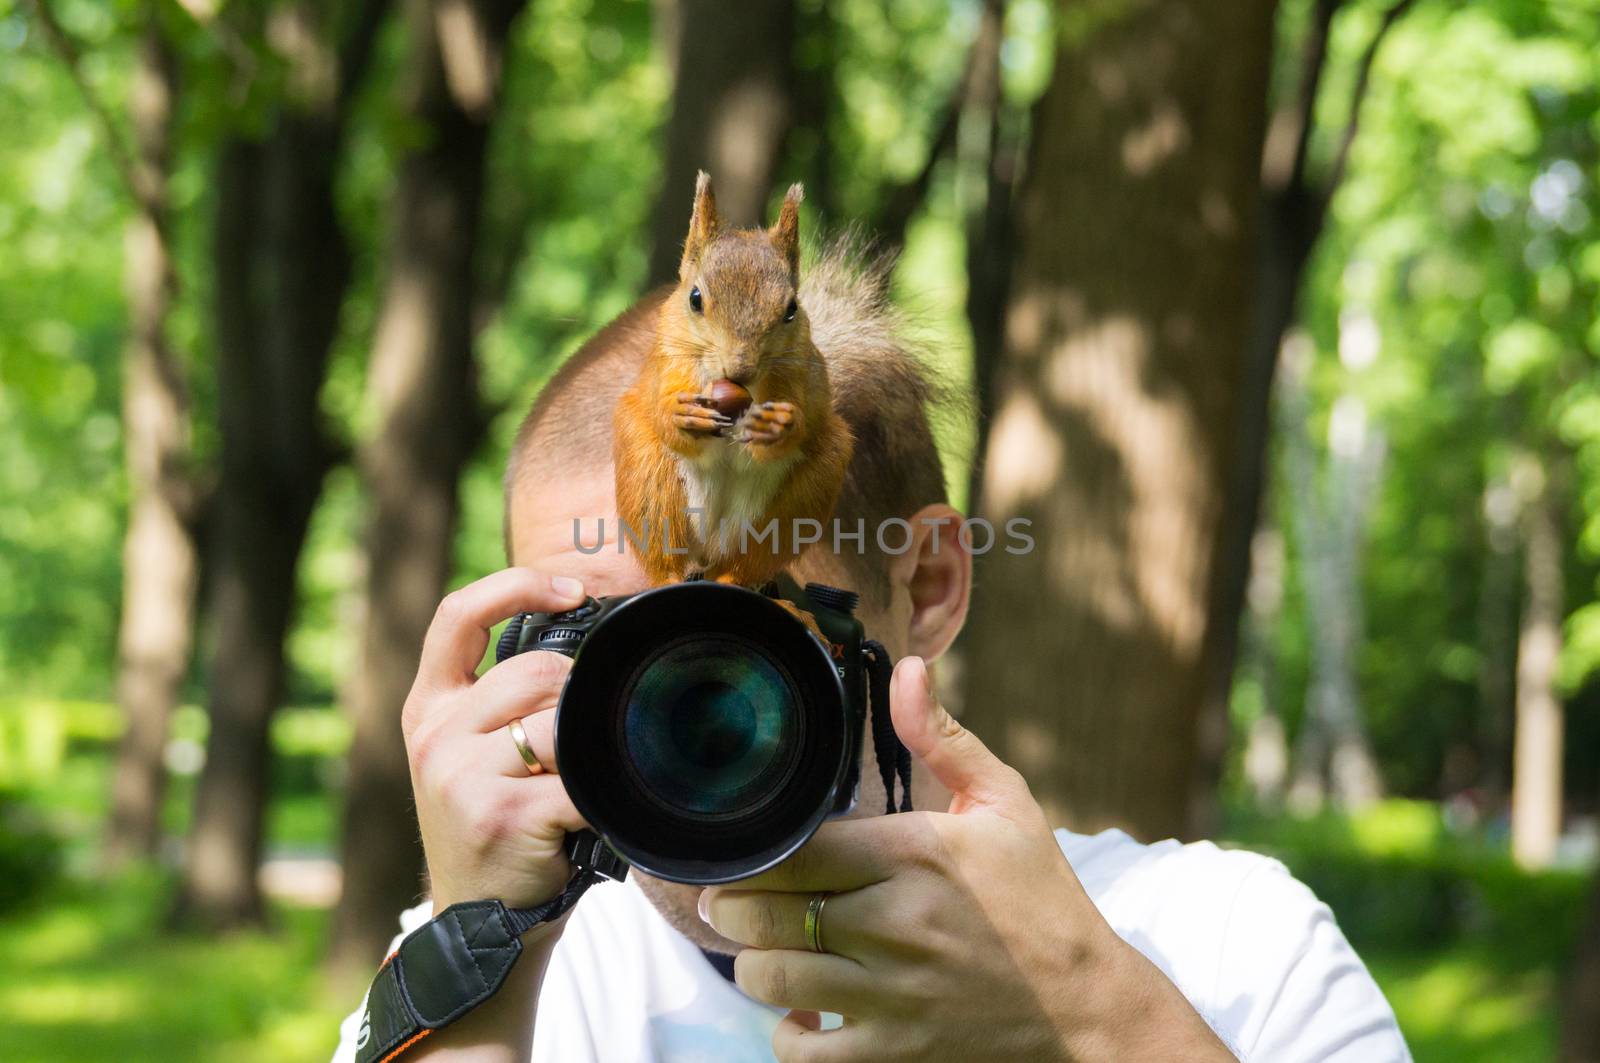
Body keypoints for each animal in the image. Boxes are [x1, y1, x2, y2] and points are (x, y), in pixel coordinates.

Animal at [611, 172, 857, 589]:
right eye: (694, 298)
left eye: (791, 309)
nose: (739, 371)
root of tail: (709, 552)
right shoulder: (667, 359)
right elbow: (665, 413)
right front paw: (682, 416)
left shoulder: (799, 375)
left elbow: (792, 425)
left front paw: (778, 424)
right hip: (648, 478)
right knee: (664, 550)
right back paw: (669, 578)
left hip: (798, 503)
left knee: (748, 564)